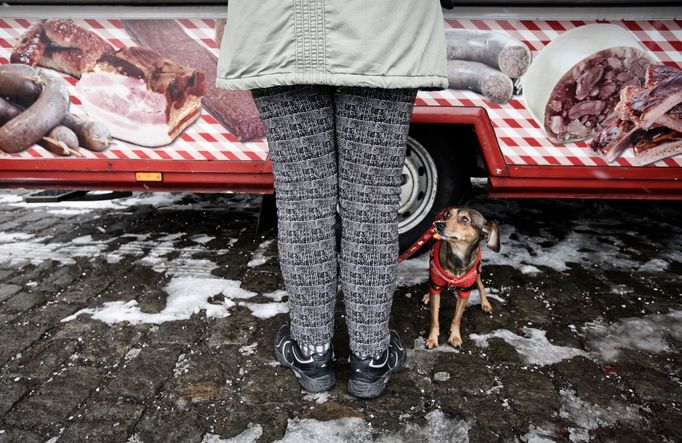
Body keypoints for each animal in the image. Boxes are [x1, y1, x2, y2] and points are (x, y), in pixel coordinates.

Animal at [420, 208, 500, 350]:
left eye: (465, 219)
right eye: (448, 214)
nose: (438, 224)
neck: (457, 258)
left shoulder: (464, 291)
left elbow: (457, 318)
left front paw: (455, 337)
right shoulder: (436, 286)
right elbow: (434, 319)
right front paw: (432, 338)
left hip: (477, 269)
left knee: (480, 284)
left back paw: (485, 304)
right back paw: (428, 295)